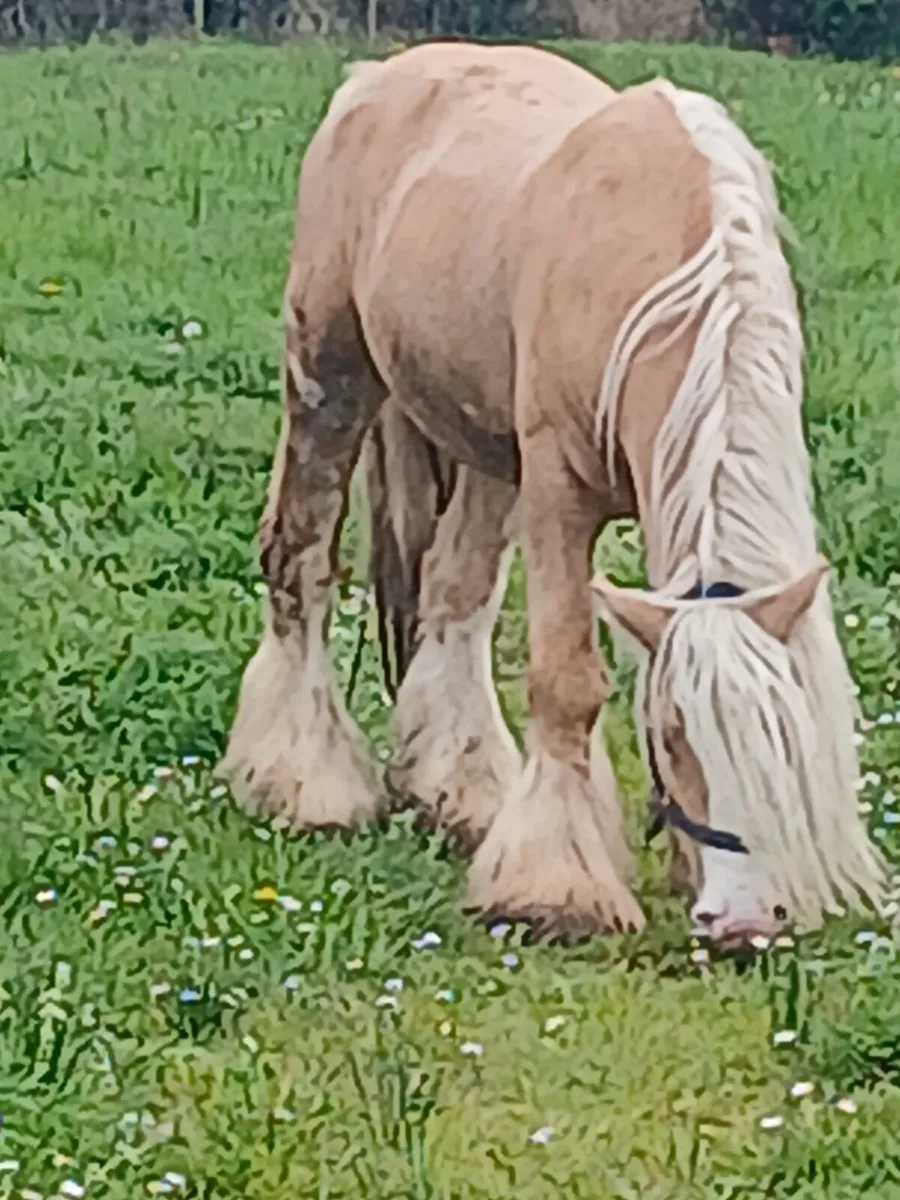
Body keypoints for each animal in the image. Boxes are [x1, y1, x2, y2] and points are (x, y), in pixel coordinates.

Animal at [218, 40, 887, 946]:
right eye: (674, 736)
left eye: (785, 740)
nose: (744, 922)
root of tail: (373, 78)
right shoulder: (559, 493)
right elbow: (567, 684)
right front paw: (555, 890)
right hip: (331, 377)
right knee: (302, 561)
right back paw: (303, 782)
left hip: (484, 451)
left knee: (452, 594)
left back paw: (461, 794)